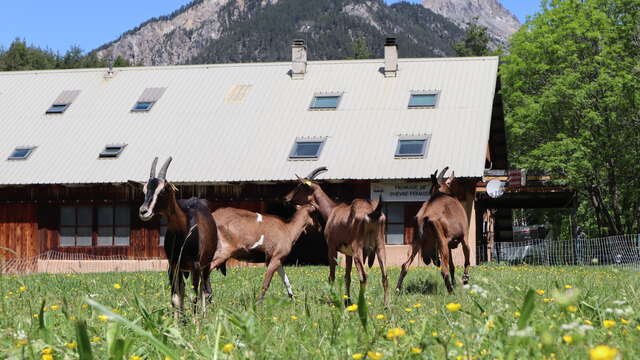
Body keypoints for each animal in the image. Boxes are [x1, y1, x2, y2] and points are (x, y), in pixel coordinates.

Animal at [286, 167, 390, 306]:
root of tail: (373, 212)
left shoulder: (332, 247)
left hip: (358, 249)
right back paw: (385, 305)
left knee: (363, 276)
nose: (286, 198)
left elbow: (332, 275)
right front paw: (348, 300)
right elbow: (347, 277)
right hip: (380, 247)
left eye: (299, 185)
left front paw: (331, 301)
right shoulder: (348, 253)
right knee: (385, 275)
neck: (332, 211)